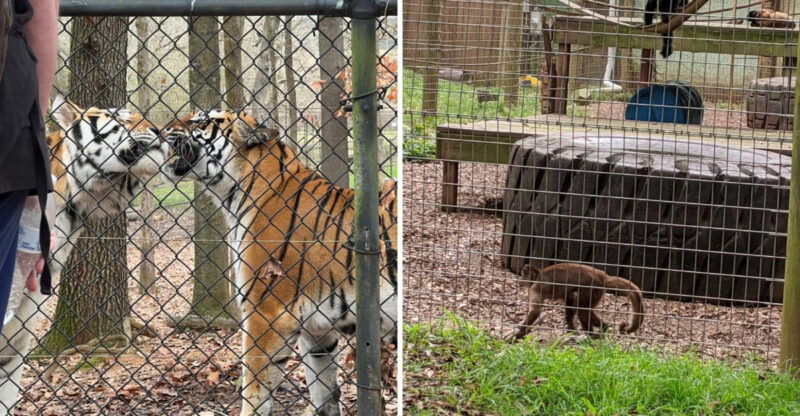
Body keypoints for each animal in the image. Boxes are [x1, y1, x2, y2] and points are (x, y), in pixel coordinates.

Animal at [160, 110, 398, 416]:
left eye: (201, 121)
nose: (161, 130)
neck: (235, 194)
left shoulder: (266, 312)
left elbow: (255, 393)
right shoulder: (317, 332)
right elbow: (324, 396)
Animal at [512, 263, 644, 340]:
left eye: (523, 275)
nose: (520, 281)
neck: (538, 274)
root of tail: (603, 277)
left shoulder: (536, 286)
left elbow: (535, 311)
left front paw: (520, 327)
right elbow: (569, 300)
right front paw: (570, 329)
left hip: (593, 289)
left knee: (582, 311)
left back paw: (598, 331)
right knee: (580, 307)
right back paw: (597, 331)